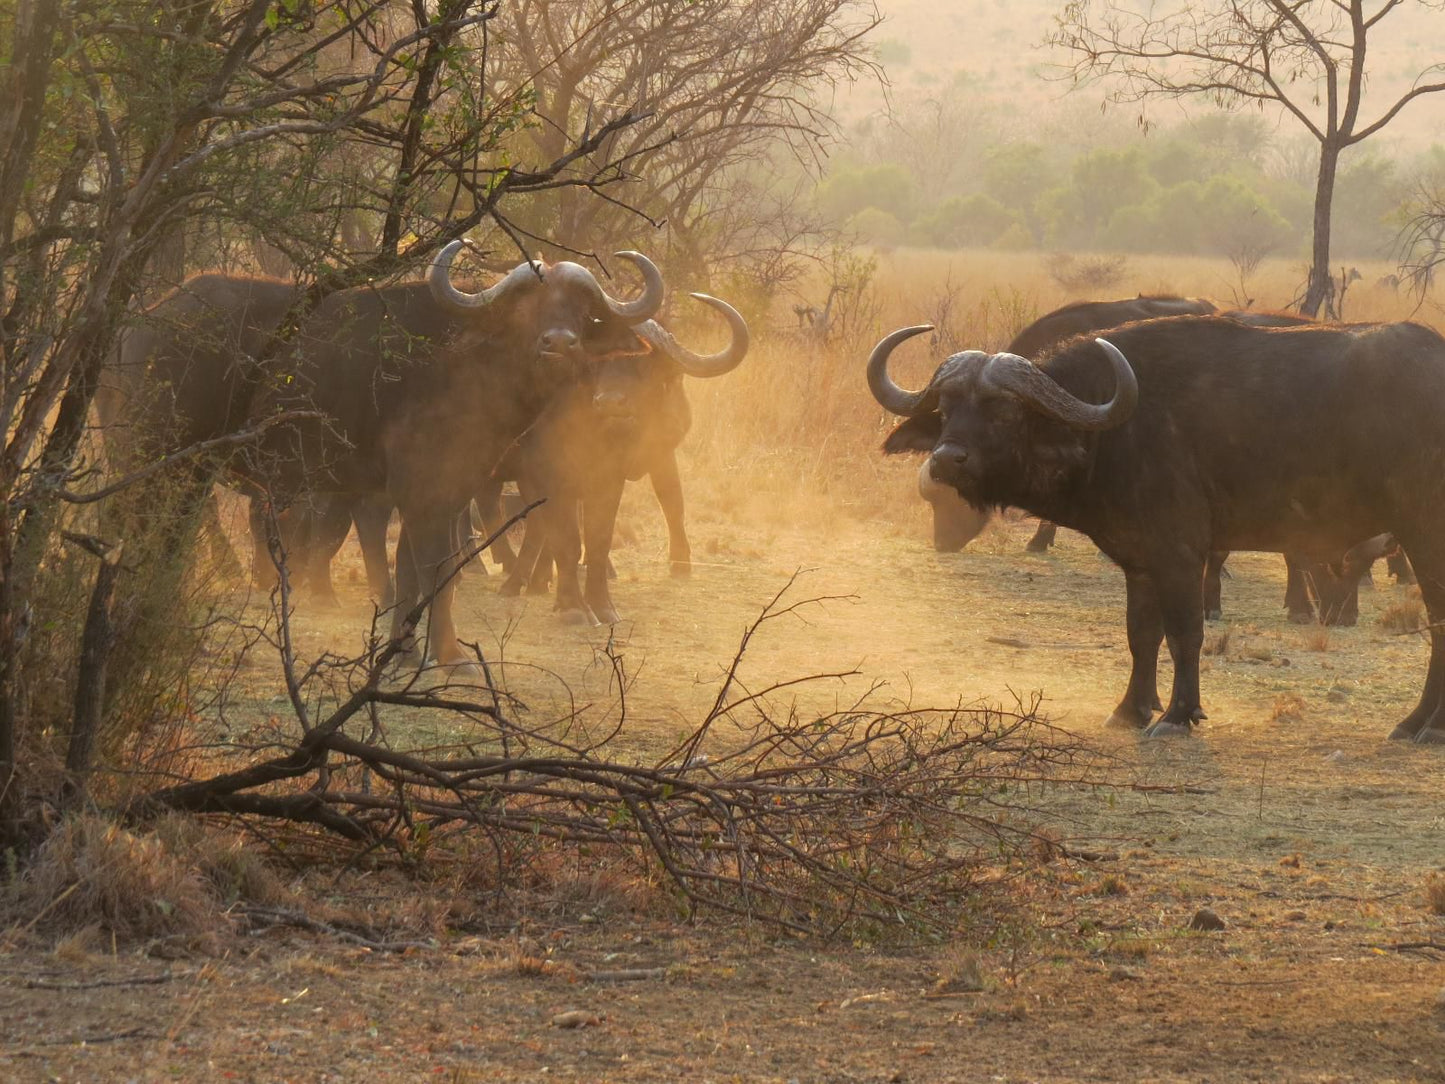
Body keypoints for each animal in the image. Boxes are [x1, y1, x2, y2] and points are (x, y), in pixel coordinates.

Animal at [867, 313, 1445, 745]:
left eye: (1004, 412)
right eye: (946, 408)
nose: (947, 459)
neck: (1113, 433)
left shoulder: (1181, 552)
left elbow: (1186, 632)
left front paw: (1177, 715)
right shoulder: (1138, 558)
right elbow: (1141, 635)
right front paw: (1131, 708)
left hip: (1424, 537)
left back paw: (1420, 725)